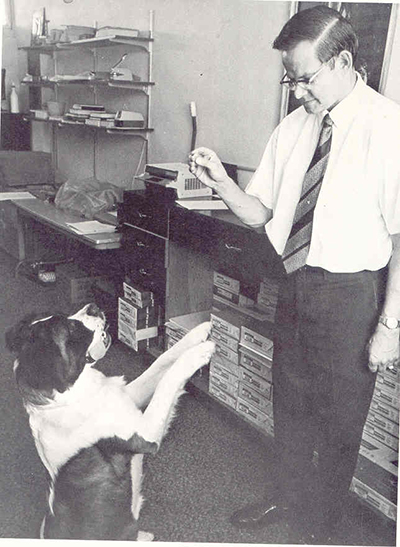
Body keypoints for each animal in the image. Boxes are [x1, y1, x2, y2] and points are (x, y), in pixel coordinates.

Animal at [6, 304, 214, 540]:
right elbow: (168, 380)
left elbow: (162, 361)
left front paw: (200, 330)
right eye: (70, 327)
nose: (93, 307)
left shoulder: (130, 396)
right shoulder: (146, 434)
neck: (68, 399)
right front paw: (200, 352)